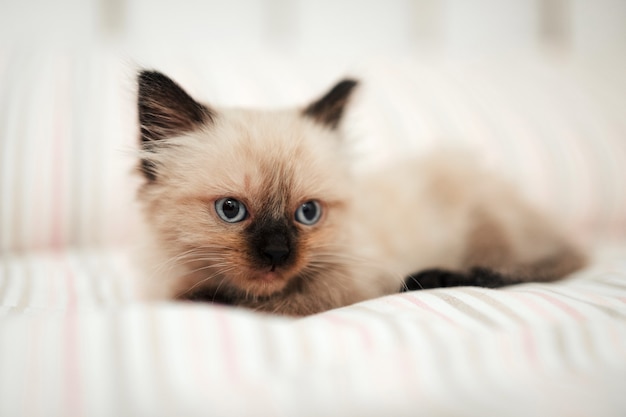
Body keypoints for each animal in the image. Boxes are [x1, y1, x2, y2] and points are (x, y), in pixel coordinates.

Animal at [133, 70, 584, 316]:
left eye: (308, 213)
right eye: (230, 210)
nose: (277, 254)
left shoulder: (352, 279)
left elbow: (272, 302)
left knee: (538, 266)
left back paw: (440, 277)